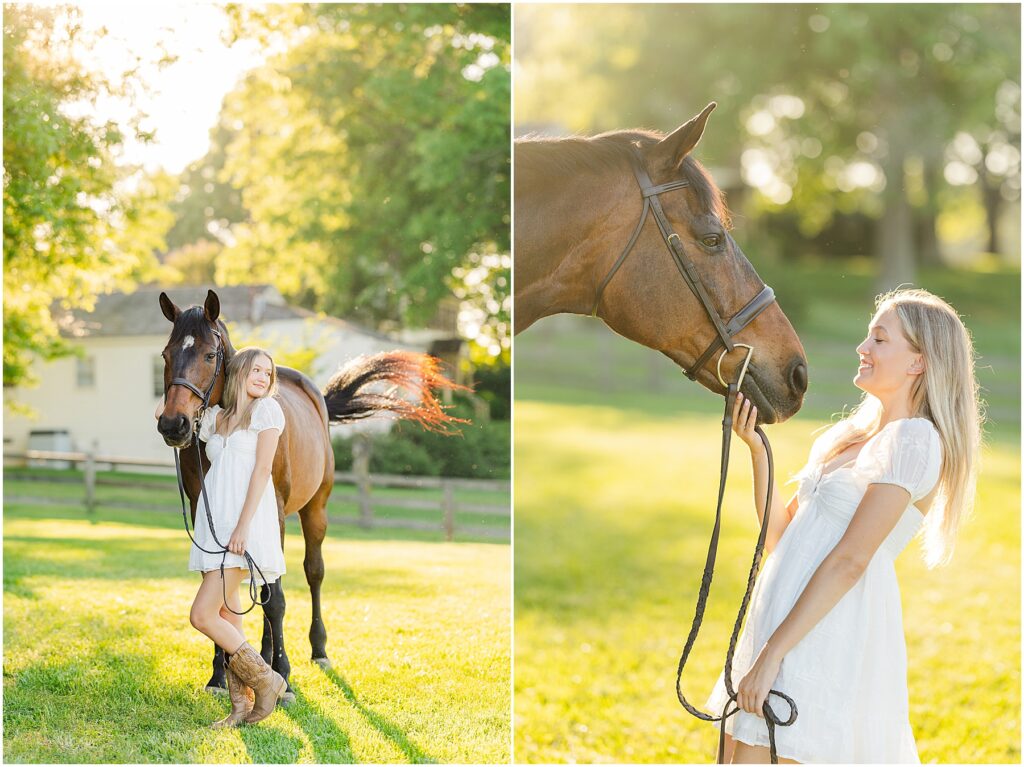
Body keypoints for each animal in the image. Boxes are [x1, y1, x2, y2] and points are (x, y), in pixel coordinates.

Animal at [153, 288, 458, 700]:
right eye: (166, 355)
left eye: (209, 355)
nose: (173, 425)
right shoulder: (205, 514)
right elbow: (217, 590)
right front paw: (220, 675)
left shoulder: (272, 511)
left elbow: (276, 598)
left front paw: (282, 673)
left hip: (314, 509)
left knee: (311, 574)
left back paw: (315, 651)